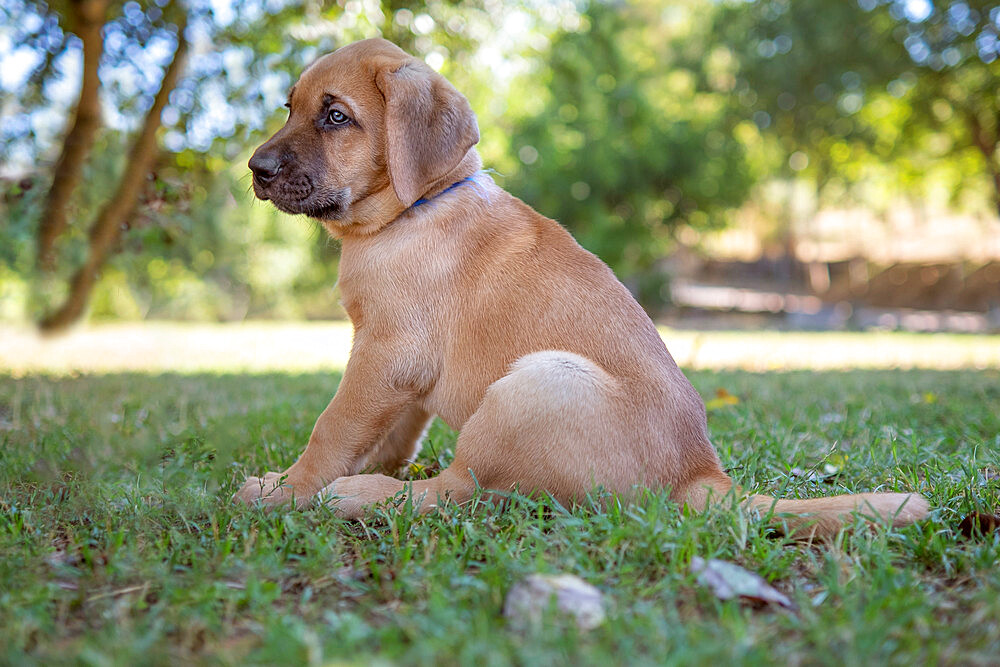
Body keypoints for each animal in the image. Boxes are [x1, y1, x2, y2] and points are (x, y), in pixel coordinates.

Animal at [236, 36, 928, 540]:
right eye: (290, 108)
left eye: (336, 116)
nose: (255, 169)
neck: (416, 208)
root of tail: (700, 478)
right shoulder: (405, 371)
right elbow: (391, 434)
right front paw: (363, 466)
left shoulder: (385, 352)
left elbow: (332, 429)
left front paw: (288, 489)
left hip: (534, 385)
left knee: (459, 491)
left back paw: (360, 496)